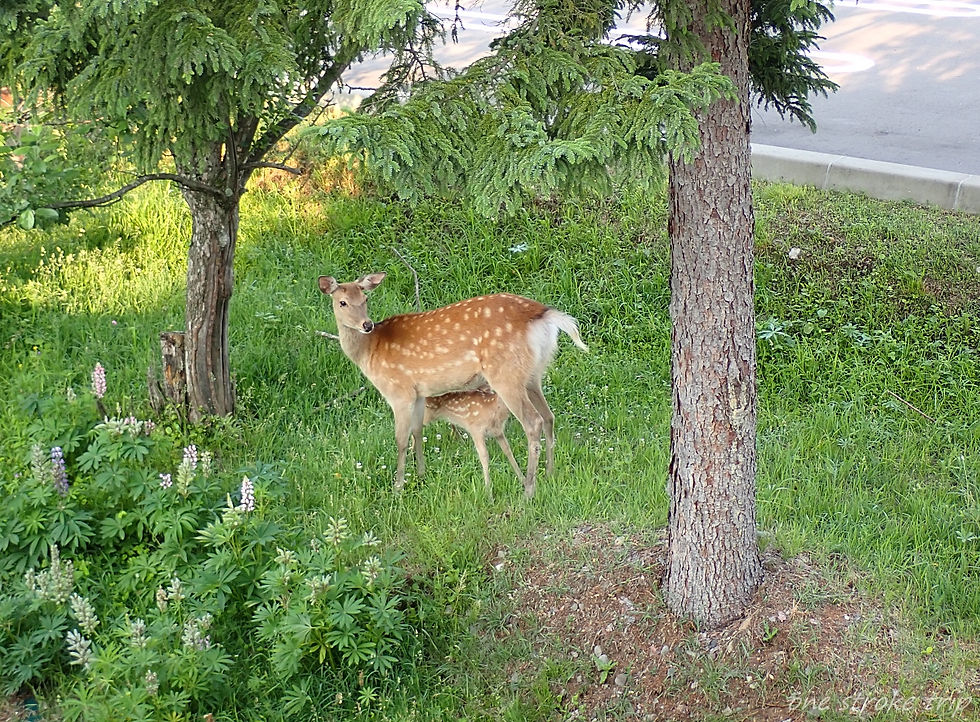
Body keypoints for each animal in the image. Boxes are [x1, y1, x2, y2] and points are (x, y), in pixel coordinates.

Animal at [318, 272, 588, 497]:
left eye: (365, 299)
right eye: (342, 302)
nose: (367, 324)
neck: (368, 351)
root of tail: (545, 315)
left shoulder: (398, 391)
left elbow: (401, 439)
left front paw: (398, 487)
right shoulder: (419, 393)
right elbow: (418, 431)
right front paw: (421, 475)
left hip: (505, 373)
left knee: (533, 422)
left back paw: (529, 489)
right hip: (533, 374)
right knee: (549, 416)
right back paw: (550, 473)